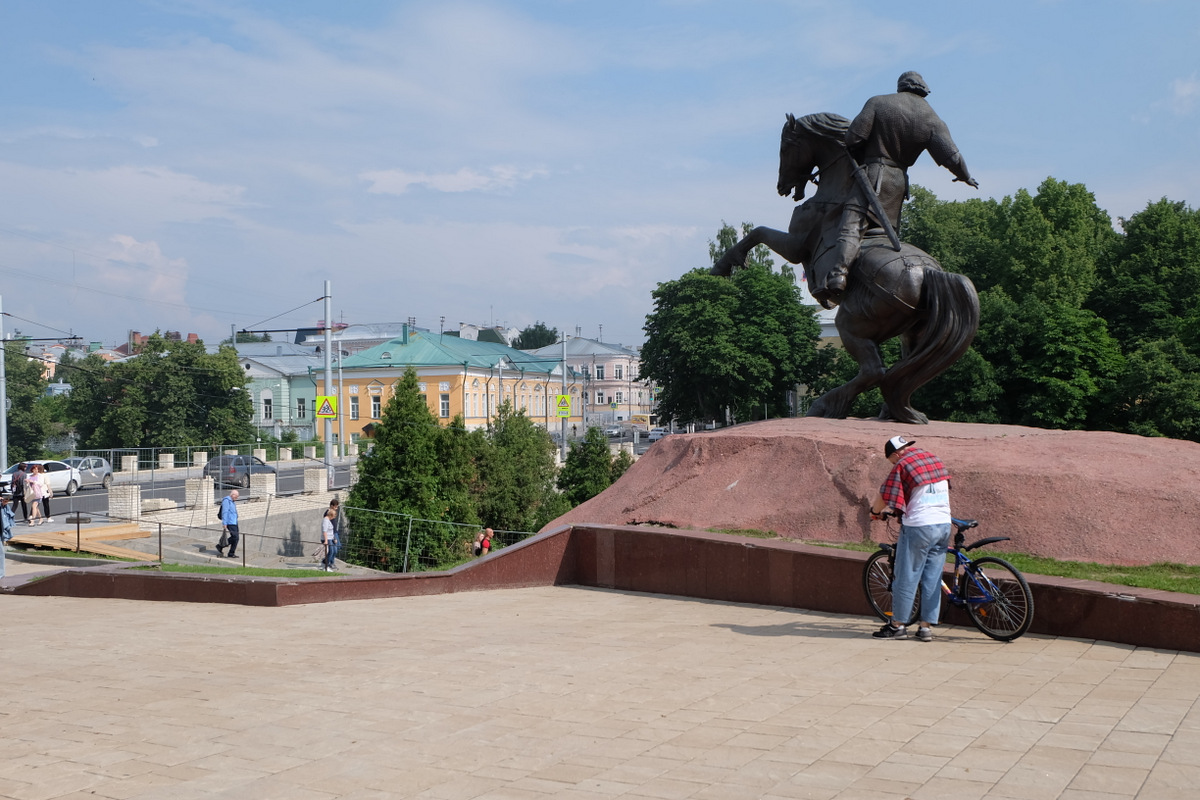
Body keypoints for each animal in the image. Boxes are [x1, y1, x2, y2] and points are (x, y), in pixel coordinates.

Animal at [710, 113, 974, 424]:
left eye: (786, 147)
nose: (782, 186)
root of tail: (933, 273)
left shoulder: (795, 246)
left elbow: (758, 231)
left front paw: (724, 264)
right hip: (912, 330)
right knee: (901, 370)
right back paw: (892, 412)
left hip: (851, 323)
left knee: (875, 371)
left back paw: (825, 405)